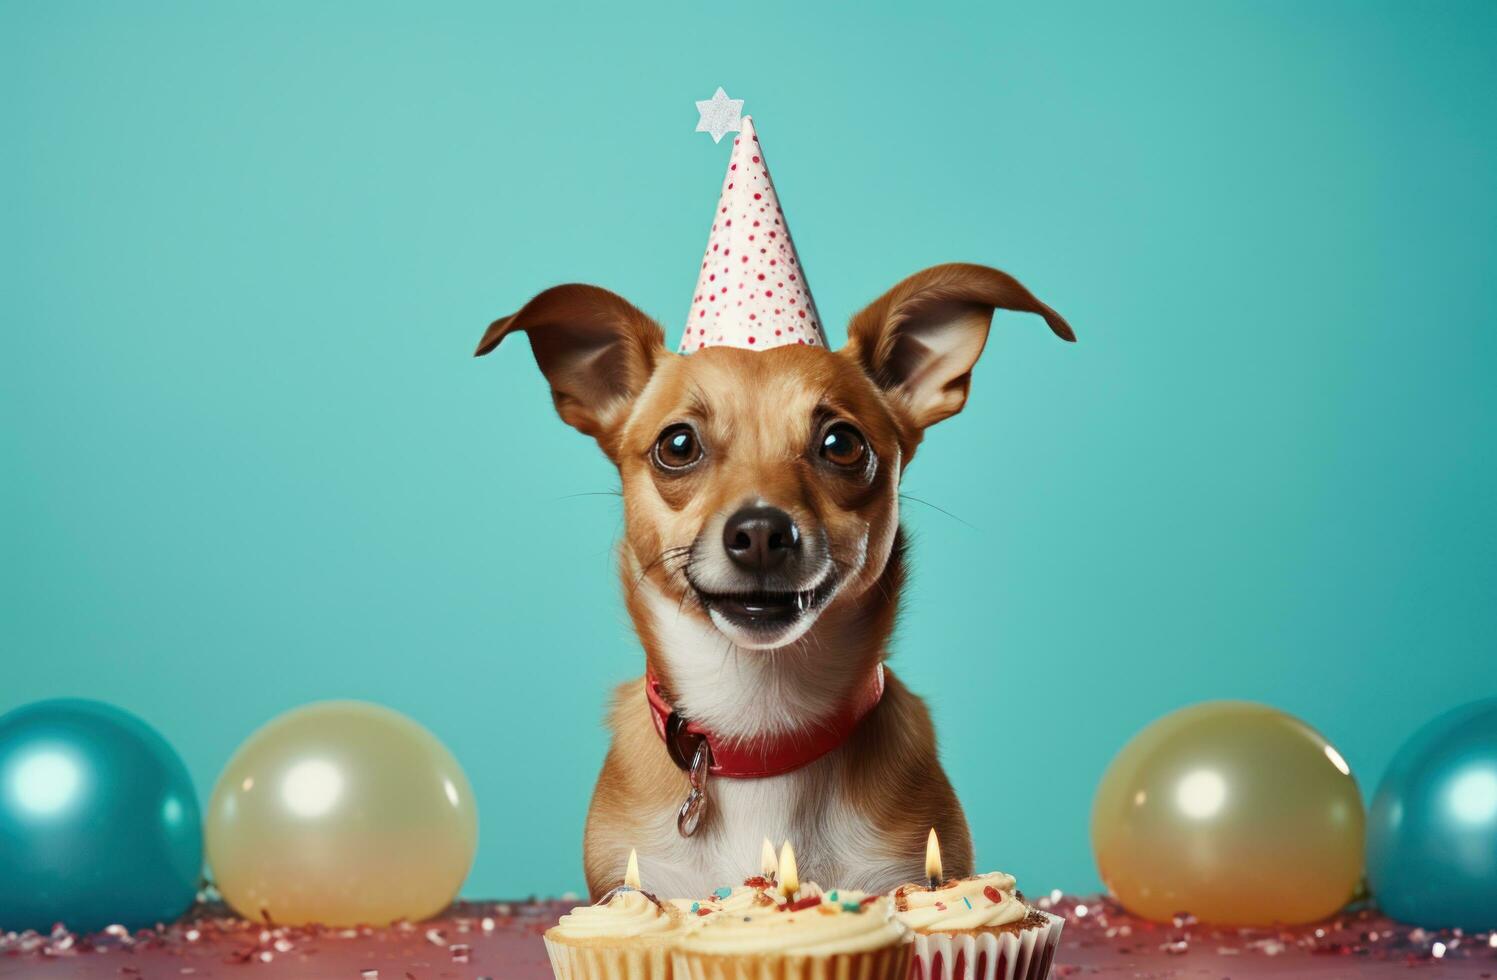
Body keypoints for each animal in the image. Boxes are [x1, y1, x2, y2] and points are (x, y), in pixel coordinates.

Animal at [473, 260, 1071, 897]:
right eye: (677, 445)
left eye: (841, 443)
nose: (761, 531)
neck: (761, 732)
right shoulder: (632, 877)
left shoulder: (903, 867)